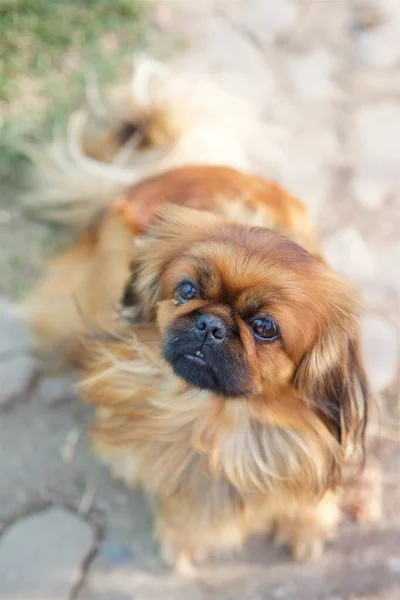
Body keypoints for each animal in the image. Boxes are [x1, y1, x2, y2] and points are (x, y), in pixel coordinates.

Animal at [20, 59, 368, 572]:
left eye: (265, 328)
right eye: (186, 291)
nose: (211, 323)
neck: (219, 418)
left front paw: (308, 524)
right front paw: (184, 540)